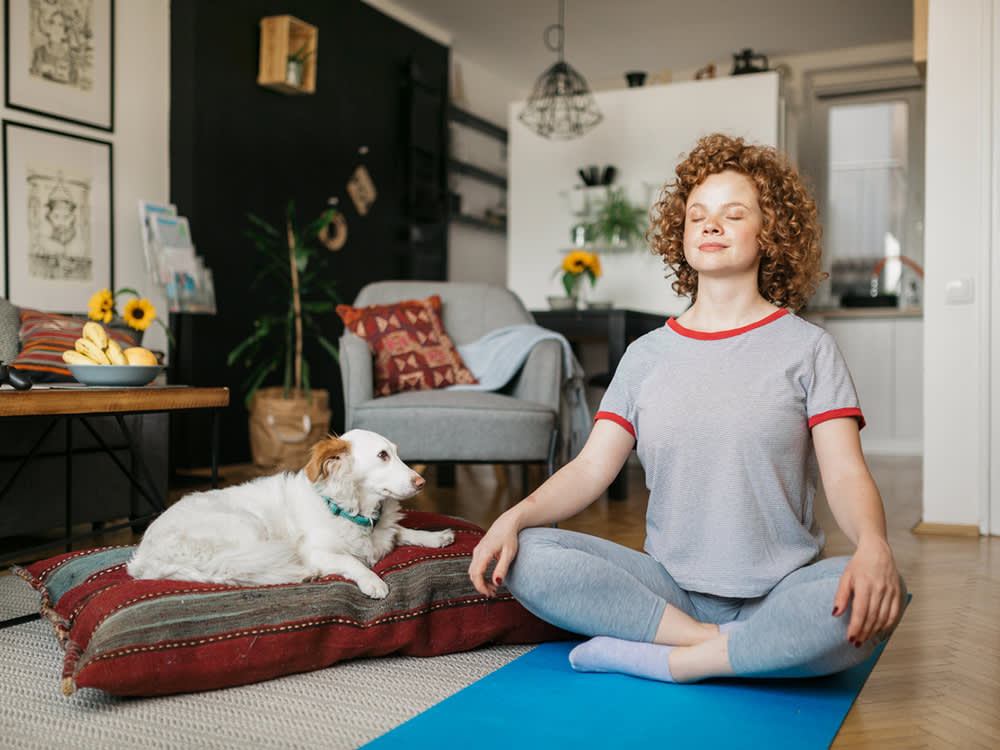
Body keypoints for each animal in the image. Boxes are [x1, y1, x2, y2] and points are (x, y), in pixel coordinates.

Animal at [127, 428, 456, 600]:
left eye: (396, 453)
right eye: (382, 456)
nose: (422, 482)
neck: (351, 510)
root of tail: (145, 557)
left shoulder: (384, 531)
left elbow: (400, 531)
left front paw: (435, 536)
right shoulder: (317, 550)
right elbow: (351, 560)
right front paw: (372, 581)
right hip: (246, 527)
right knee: (234, 571)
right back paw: (304, 573)